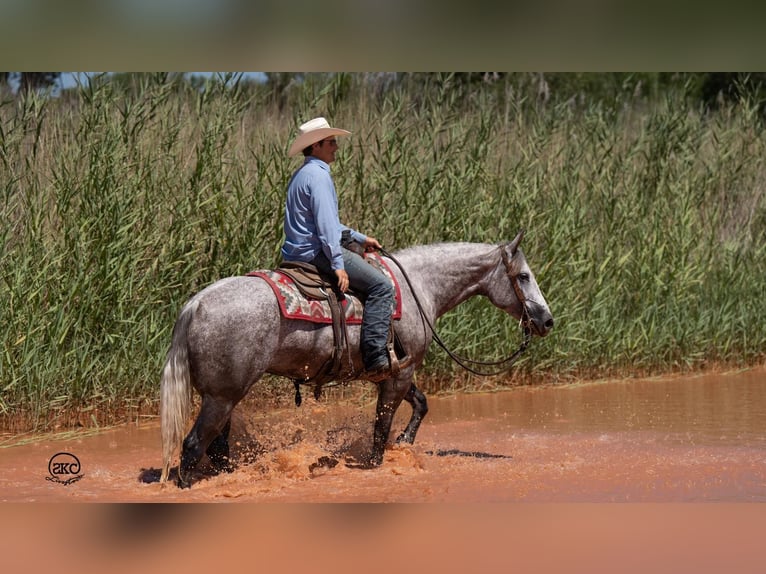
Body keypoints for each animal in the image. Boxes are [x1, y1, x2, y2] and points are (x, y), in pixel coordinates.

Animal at [160, 232, 552, 488]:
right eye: (523, 276)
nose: (547, 321)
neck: (417, 287)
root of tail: (195, 305)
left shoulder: (396, 370)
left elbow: (421, 404)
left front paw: (405, 443)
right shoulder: (398, 374)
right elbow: (381, 427)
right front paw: (379, 462)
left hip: (222, 396)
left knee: (217, 446)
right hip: (222, 396)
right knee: (194, 445)